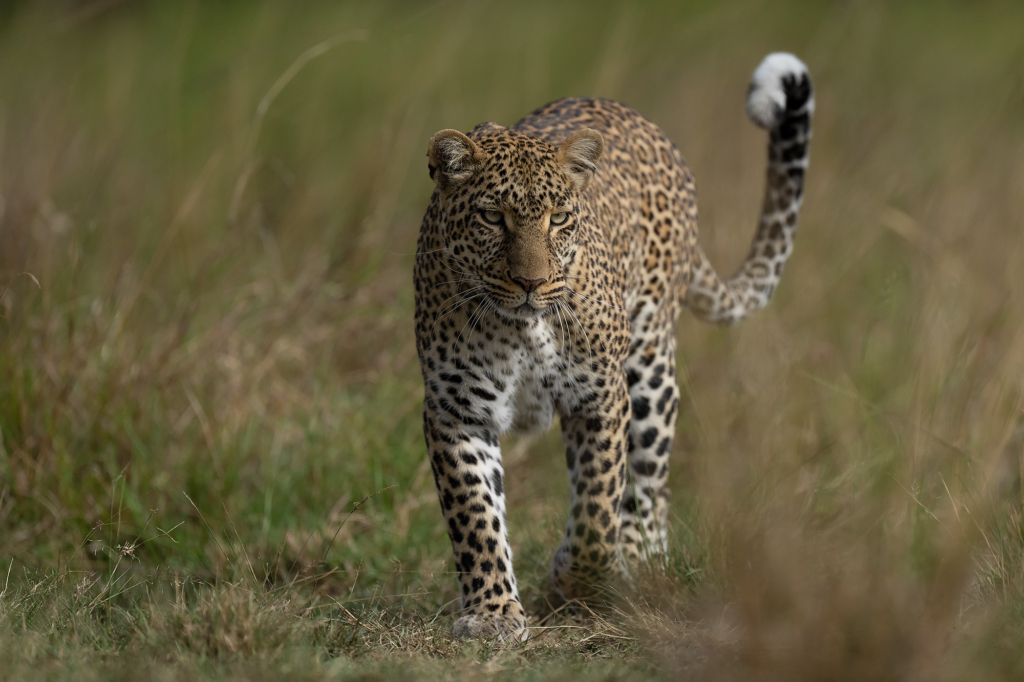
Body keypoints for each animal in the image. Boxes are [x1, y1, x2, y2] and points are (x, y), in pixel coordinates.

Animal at [411, 51, 811, 638]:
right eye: (491, 217)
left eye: (558, 218)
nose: (530, 282)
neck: (521, 328)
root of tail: (644, 122)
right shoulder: (457, 408)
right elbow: (476, 517)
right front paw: (492, 613)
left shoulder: (599, 393)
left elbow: (599, 504)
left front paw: (577, 581)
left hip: (650, 368)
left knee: (648, 484)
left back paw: (641, 562)